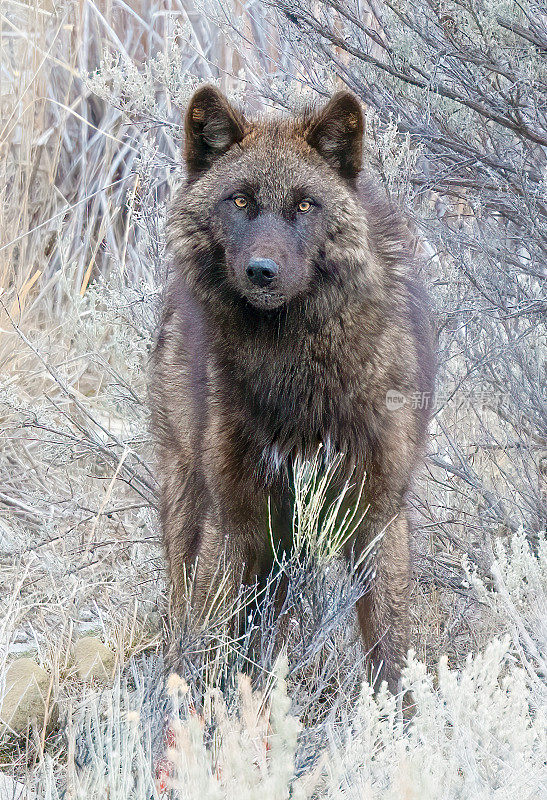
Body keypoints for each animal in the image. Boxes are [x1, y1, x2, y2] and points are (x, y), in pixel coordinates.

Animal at [150, 84, 436, 692]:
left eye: (306, 205)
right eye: (239, 202)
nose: (262, 271)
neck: (295, 373)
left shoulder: (380, 518)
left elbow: (392, 656)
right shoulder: (233, 517)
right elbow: (207, 640)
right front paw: (199, 710)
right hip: (192, 508)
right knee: (185, 611)